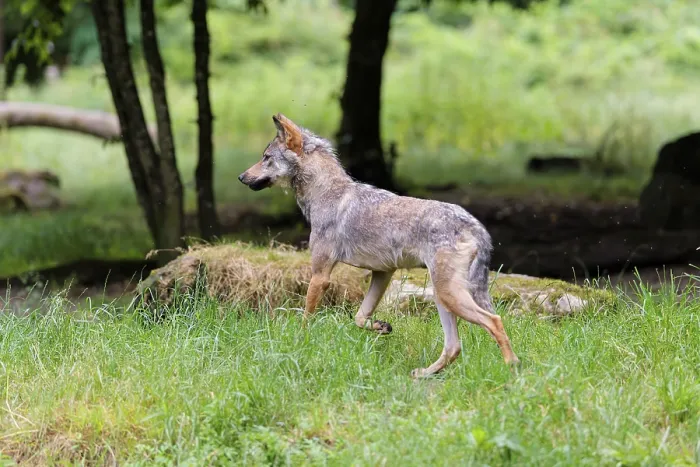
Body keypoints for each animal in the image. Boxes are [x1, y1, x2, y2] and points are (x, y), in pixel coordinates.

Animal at [239, 114, 520, 377]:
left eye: (265, 157)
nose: (241, 177)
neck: (327, 195)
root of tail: (476, 225)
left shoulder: (320, 275)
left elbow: (307, 318)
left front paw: (300, 344)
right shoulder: (383, 273)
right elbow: (359, 317)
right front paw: (381, 327)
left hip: (449, 294)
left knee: (494, 321)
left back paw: (511, 368)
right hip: (444, 297)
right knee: (454, 347)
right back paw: (424, 374)